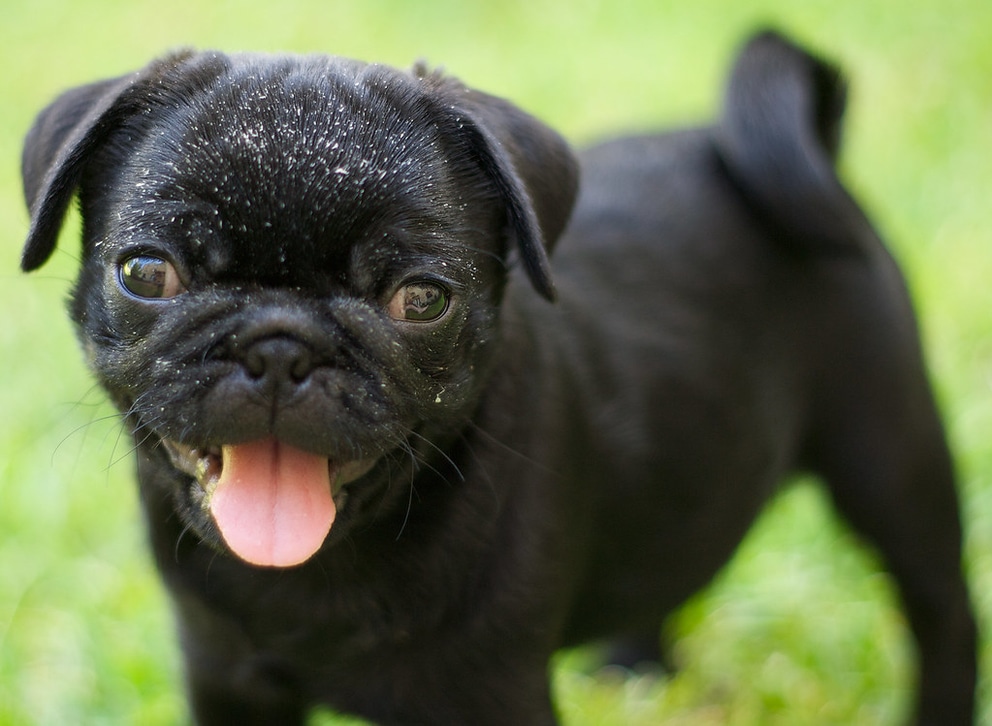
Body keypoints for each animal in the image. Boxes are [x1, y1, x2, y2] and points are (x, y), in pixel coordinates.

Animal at [21, 29, 976, 726]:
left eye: (421, 298)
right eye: (146, 273)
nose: (280, 345)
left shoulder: (488, 697)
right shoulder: (227, 682)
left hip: (891, 460)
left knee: (942, 613)